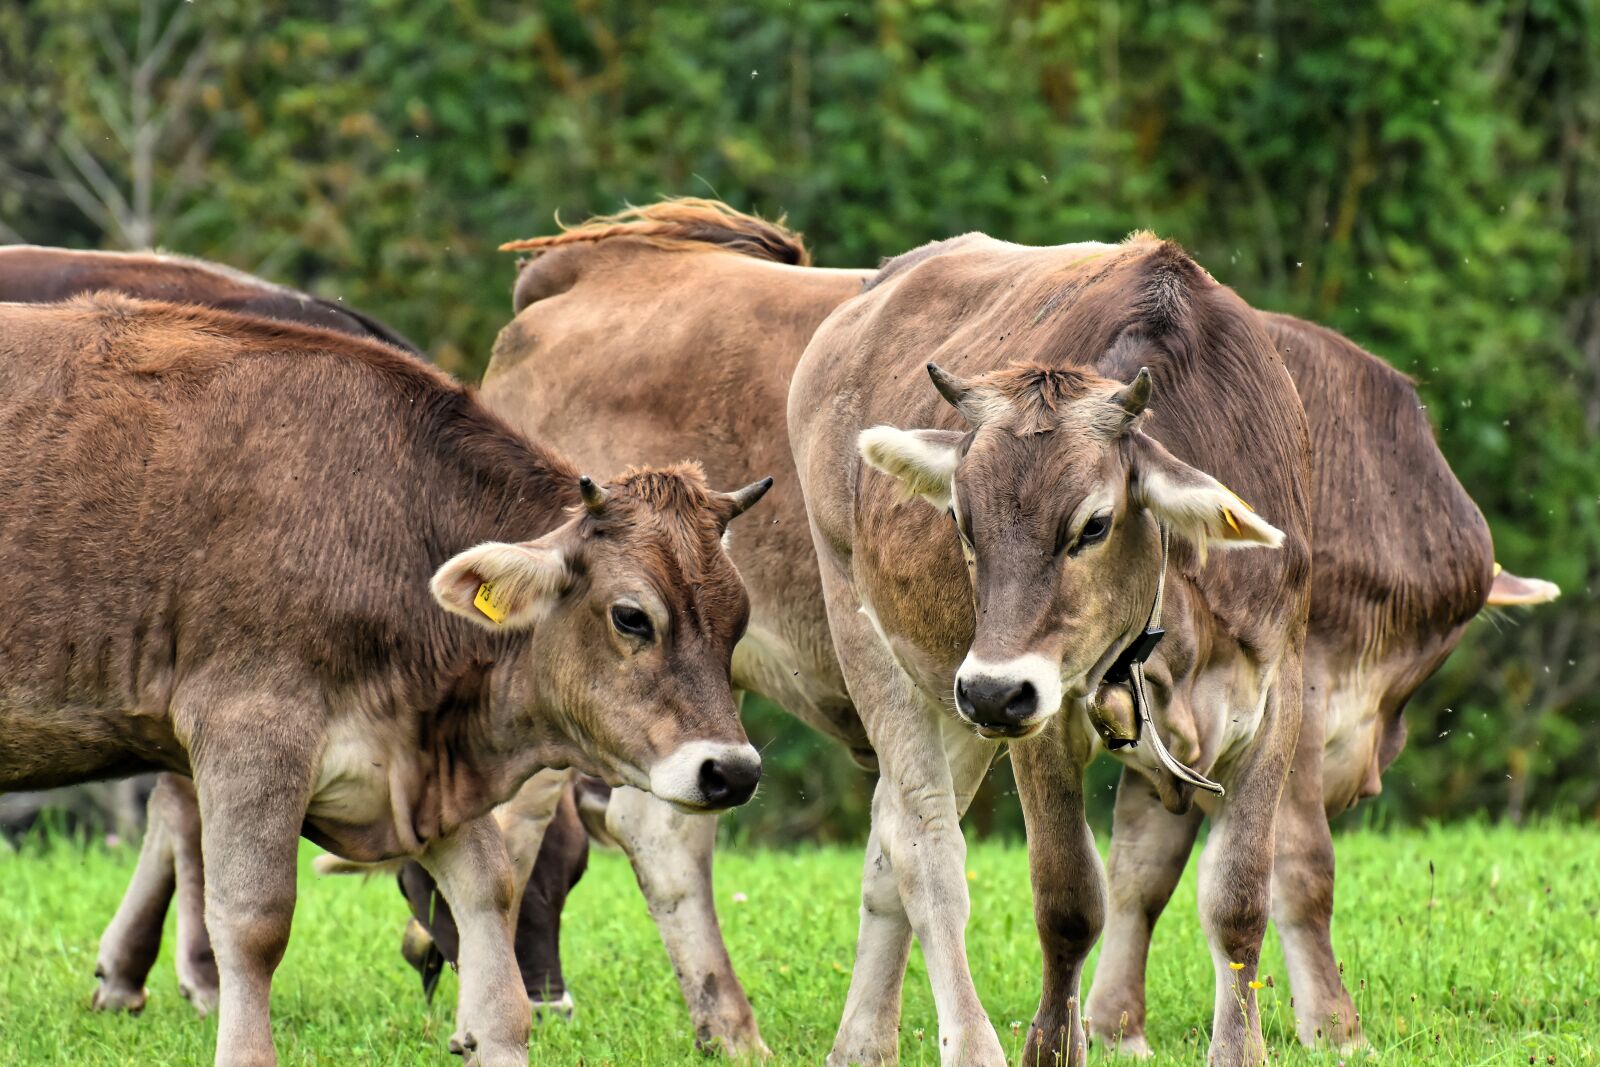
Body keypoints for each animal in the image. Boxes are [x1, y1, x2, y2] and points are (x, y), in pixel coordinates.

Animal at [0, 292, 770, 1067]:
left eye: (739, 619)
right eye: (631, 616)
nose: (731, 770)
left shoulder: (423, 763)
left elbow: (489, 900)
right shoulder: (248, 733)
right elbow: (253, 921)